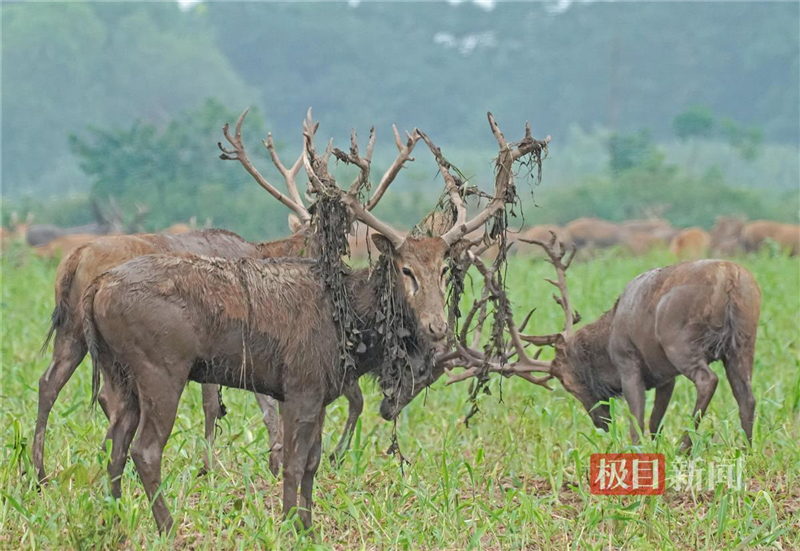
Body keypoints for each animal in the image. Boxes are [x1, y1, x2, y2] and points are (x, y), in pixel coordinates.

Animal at [32, 110, 424, 486]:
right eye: (327, 235)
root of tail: (74, 259)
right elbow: (237, 404)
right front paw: (234, 464)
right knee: (102, 395)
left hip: (72, 329)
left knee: (49, 382)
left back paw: (41, 472)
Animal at [78, 111, 548, 532]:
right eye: (405, 269)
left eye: (442, 270)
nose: (437, 327)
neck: (354, 325)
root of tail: (96, 288)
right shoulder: (301, 384)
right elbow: (293, 462)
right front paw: (289, 524)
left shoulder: (321, 392)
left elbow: (313, 464)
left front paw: (307, 525)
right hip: (161, 366)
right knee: (145, 449)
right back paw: (167, 527)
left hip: (121, 372)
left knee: (116, 443)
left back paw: (114, 520)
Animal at [450, 233, 764, 452]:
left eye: (567, 382)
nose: (601, 423)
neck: (606, 340)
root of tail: (730, 279)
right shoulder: (665, 376)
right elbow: (654, 422)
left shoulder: (628, 362)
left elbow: (637, 418)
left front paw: (637, 449)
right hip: (743, 341)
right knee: (746, 395)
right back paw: (747, 448)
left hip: (680, 342)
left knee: (708, 380)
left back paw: (685, 445)